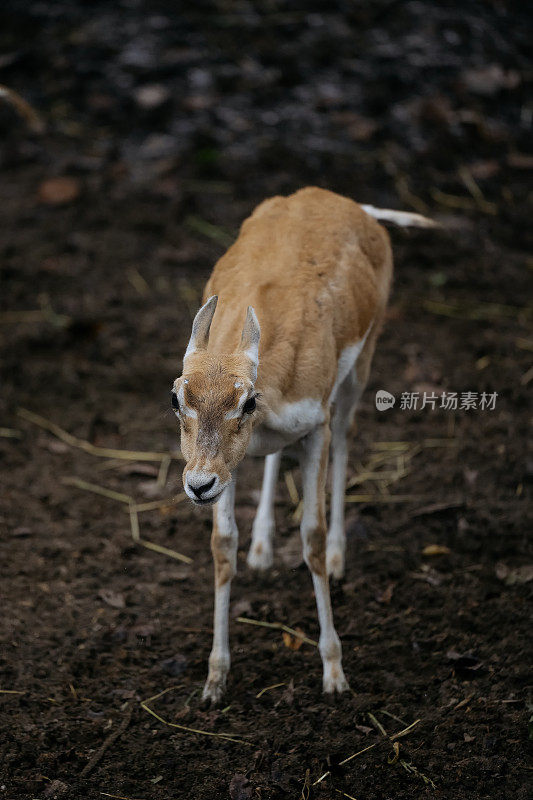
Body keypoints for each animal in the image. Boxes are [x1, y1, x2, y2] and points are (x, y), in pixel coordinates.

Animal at [171, 186, 436, 700]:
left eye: (247, 402)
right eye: (176, 397)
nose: (197, 485)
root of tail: (349, 203)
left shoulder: (315, 425)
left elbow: (310, 534)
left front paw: (334, 671)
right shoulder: (228, 464)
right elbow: (222, 543)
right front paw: (214, 679)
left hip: (359, 370)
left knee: (347, 437)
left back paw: (337, 557)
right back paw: (261, 550)